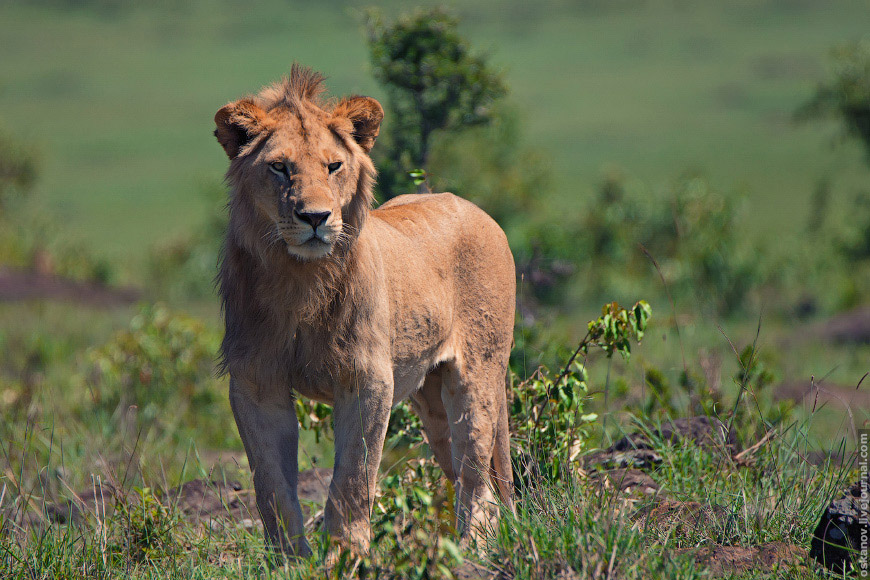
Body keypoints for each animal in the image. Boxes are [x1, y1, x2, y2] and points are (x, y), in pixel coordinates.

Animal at [216, 64, 516, 556]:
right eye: (279, 167)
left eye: (334, 166)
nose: (315, 218)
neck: (301, 280)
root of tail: (476, 210)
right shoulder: (255, 381)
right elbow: (271, 485)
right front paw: (291, 560)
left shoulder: (366, 378)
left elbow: (353, 477)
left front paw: (345, 555)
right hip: (430, 396)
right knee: (457, 467)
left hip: (478, 373)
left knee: (476, 470)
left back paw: (471, 549)